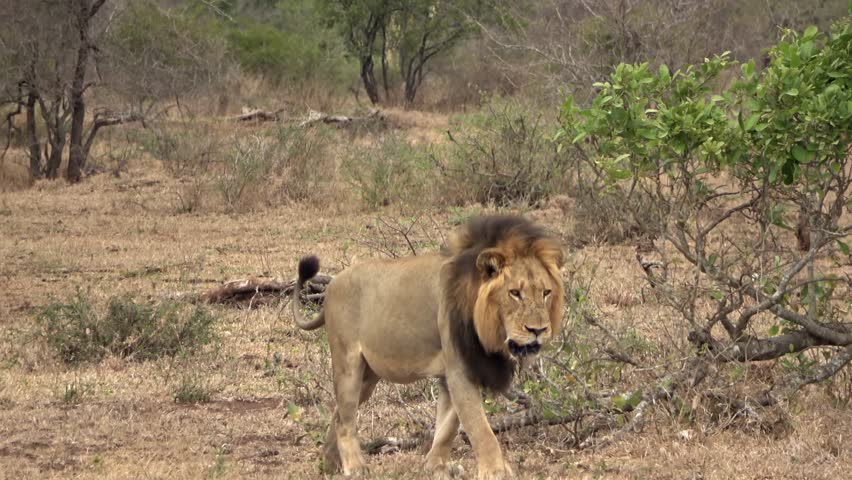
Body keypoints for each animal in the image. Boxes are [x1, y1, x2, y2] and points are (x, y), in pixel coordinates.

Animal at [291, 215, 565, 479]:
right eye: (515, 293)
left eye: (546, 292)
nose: (538, 330)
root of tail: (332, 285)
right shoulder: (460, 369)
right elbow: (479, 427)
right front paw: (495, 471)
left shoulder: (457, 372)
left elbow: (448, 426)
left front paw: (436, 467)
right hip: (348, 362)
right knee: (345, 420)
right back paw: (355, 467)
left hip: (368, 377)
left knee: (338, 413)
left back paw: (329, 464)